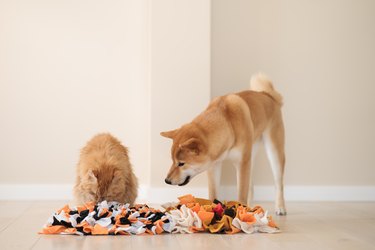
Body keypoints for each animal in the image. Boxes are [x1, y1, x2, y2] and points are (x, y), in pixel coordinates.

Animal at [162, 73, 288, 215]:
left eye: (181, 163)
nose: (167, 180)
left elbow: (241, 194)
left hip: (273, 151)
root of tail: (268, 95)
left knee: (278, 183)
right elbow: (213, 193)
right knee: (251, 185)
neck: (228, 125)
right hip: (251, 155)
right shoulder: (214, 166)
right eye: (173, 161)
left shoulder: (241, 163)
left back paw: (280, 207)